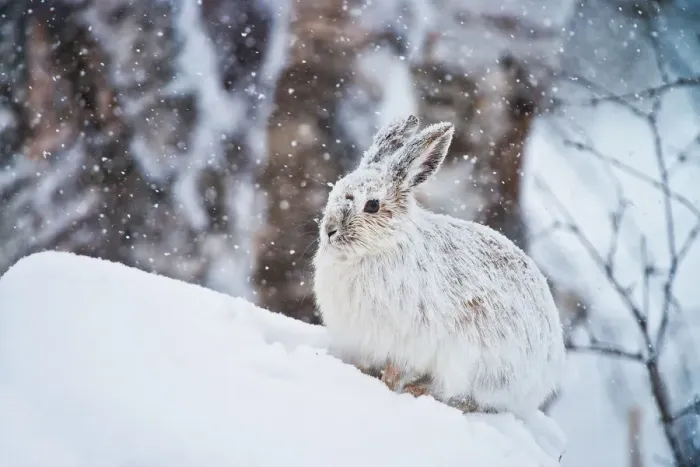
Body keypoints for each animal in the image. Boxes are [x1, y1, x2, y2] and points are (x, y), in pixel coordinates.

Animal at [312, 115, 566, 415]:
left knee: (466, 398)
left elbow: (394, 373)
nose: (329, 230)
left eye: (372, 205)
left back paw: (419, 391)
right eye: (337, 188)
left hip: (470, 359)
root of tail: (543, 380)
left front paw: (386, 388)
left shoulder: (405, 342)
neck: (381, 246)